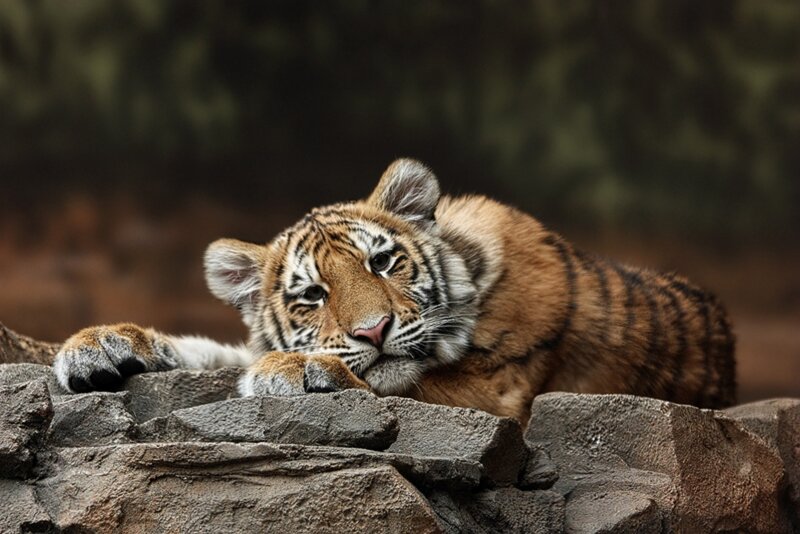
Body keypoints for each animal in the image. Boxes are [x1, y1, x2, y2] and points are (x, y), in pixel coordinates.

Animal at [30, 158, 735, 424]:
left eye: (385, 262)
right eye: (312, 296)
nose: (373, 331)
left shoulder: (497, 391)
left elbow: (395, 382)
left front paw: (299, 372)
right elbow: (210, 353)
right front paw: (102, 345)